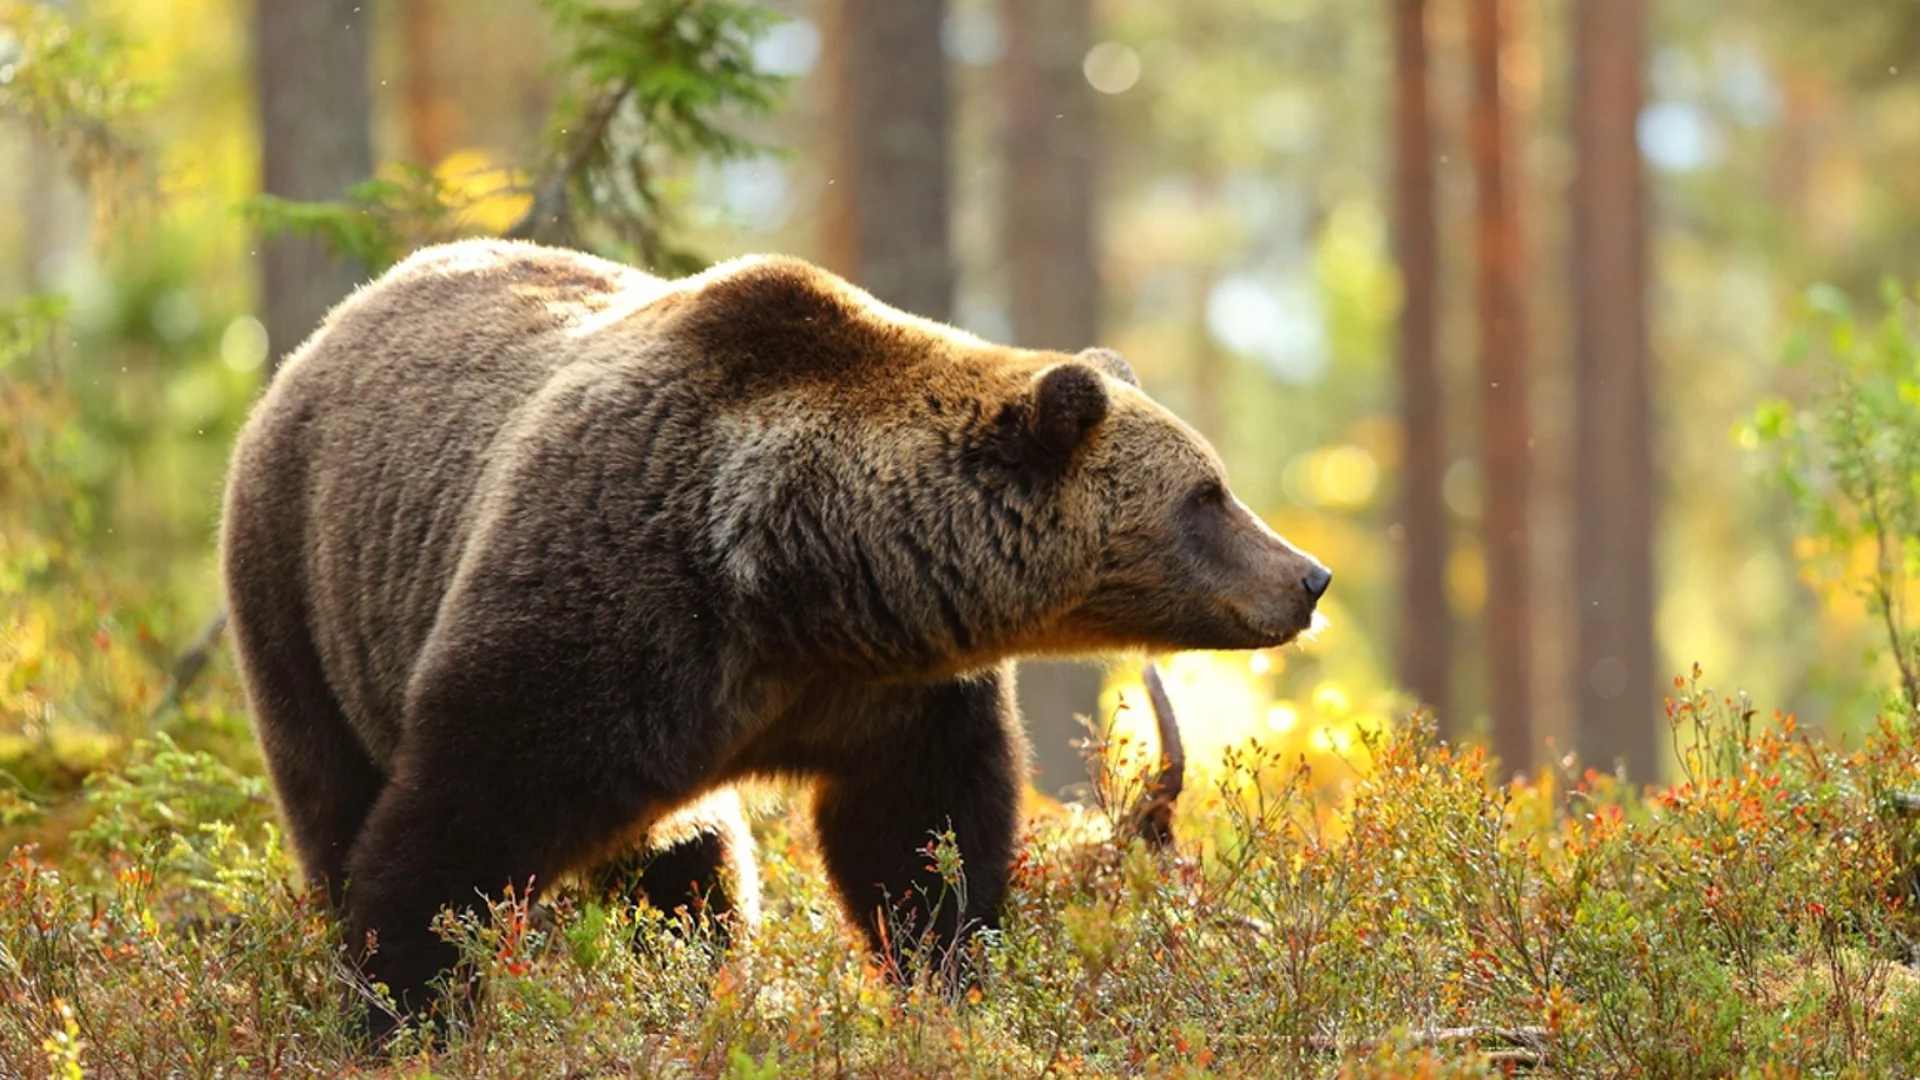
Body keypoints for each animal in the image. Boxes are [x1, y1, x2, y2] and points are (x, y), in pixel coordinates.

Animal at [217, 239, 1328, 1030]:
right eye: (1207, 494)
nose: (1308, 577)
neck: (800, 579)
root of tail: (322, 335)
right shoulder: (603, 611)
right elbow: (457, 822)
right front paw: (406, 1005)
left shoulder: (890, 694)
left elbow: (918, 842)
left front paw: (951, 980)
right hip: (302, 593)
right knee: (331, 791)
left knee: (685, 869)